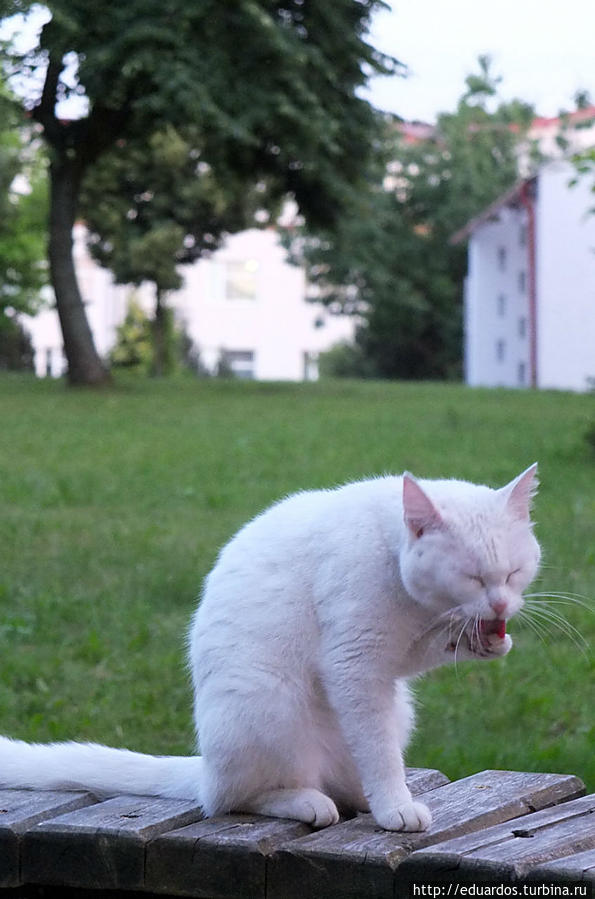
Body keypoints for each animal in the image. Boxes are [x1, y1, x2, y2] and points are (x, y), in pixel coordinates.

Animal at [0, 468, 540, 832]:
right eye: (472, 576)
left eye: (514, 572)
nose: (500, 603)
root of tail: (205, 768)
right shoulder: (354, 664)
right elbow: (379, 751)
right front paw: (395, 807)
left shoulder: (392, 662)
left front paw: (487, 640)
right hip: (268, 704)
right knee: (233, 798)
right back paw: (307, 802)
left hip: (397, 707)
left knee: (340, 777)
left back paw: (356, 796)